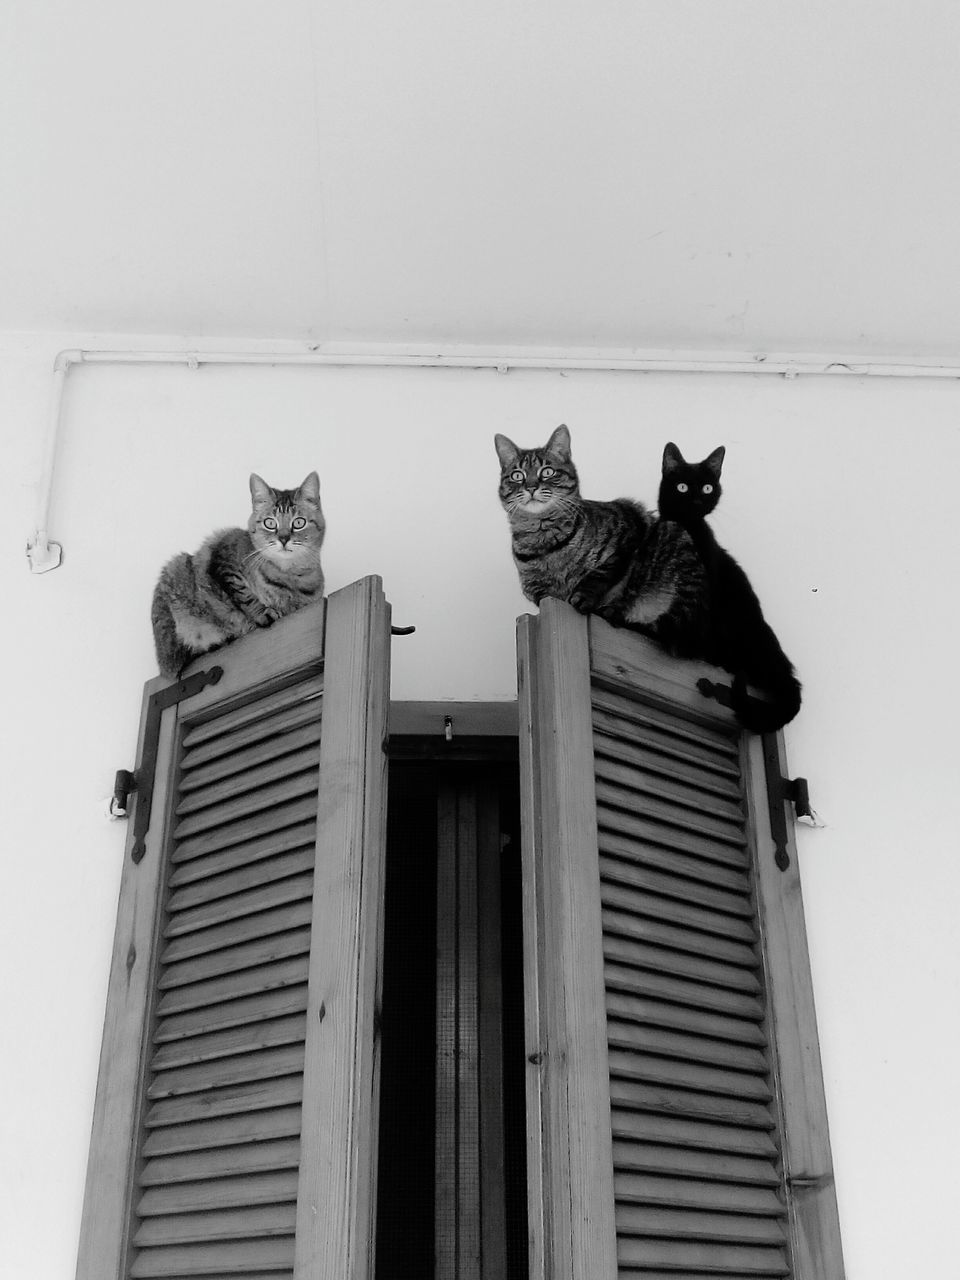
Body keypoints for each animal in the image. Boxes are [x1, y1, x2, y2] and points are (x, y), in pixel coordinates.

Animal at [152, 473, 327, 680]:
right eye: (270, 523)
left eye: (299, 522)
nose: (283, 539)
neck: (288, 575)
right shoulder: (224, 559)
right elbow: (244, 595)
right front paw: (263, 613)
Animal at [496, 430, 716, 655]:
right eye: (517, 475)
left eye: (547, 471)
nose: (531, 487)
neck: (545, 542)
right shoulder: (536, 590)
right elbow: (545, 596)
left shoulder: (629, 529)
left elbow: (600, 573)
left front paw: (582, 597)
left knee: (668, 631)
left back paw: (615, 614)